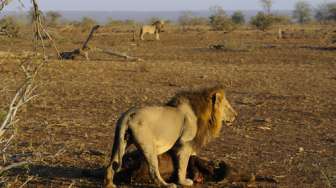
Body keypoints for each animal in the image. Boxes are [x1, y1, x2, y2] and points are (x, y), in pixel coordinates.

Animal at [104, 87, 236, 187]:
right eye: (227, 106)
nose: (236, 115)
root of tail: (129, 114)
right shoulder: (184, 144)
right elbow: (183, 165)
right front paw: (184, 182)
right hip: (148, 146)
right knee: (153, 170)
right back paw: (167, 185)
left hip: (122, 141)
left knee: (111, 165)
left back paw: (110, 184)